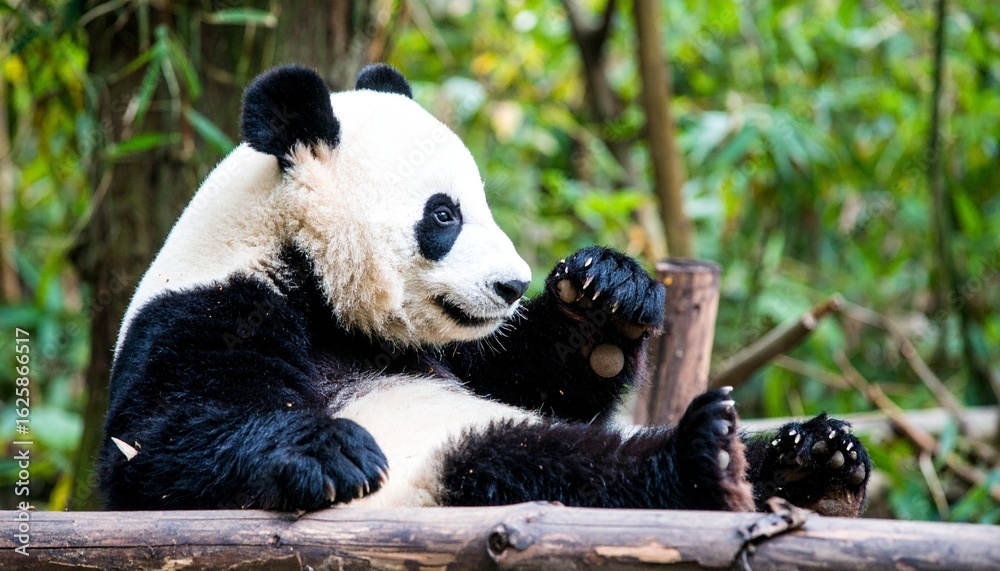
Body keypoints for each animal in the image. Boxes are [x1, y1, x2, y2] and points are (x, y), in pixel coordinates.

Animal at [100, 64, 871, 517]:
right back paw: (707, 460)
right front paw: (330, 450)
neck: (307, 271)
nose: (511, 283)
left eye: (480, 202)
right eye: (444, 214)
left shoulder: (446, 348)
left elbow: (536, 376)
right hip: (440, 471)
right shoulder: (210, 310)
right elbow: (154, 452)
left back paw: (814, 459)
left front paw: (606, 297)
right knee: (539, 466)